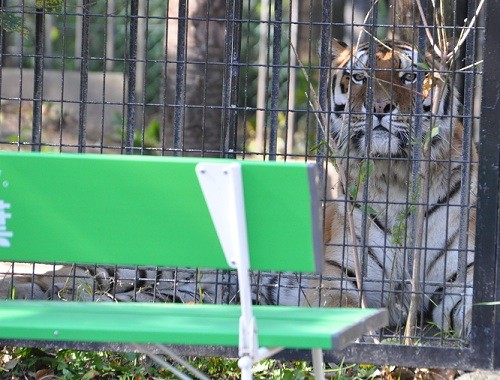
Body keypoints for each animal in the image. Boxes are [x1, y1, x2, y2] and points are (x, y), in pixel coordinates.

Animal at [0, 38, 476, 338]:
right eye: (359, 77)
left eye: (410, 77)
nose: (380, 107)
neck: (395, 177)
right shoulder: (338, 275)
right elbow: (344, 305)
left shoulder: (462, 283)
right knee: (67, 275)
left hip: (177, 290)